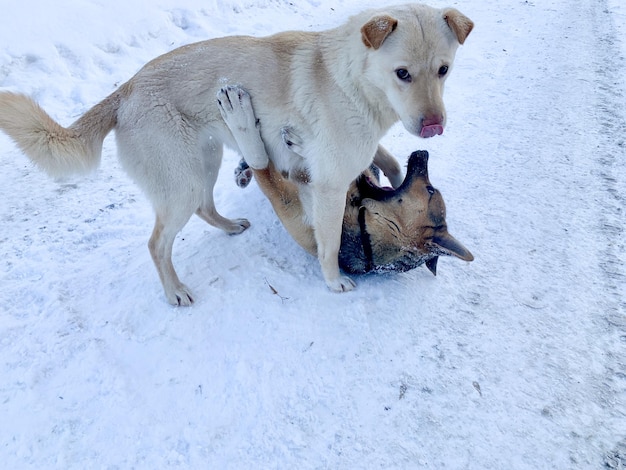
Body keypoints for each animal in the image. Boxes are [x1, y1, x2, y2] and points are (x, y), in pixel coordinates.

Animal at [0, 4, 470, 304]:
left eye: (444, 70)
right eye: (402, 73)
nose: (433, 126)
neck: (351, 78)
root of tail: (126, 90)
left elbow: (383, 158)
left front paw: (393, 174)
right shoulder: (328, 187)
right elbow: (329, 244)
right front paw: (334, 281)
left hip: (203, 165)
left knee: (206, 207)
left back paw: (228, 225)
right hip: (184, 182)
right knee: (157, 244)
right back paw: (174, 290)